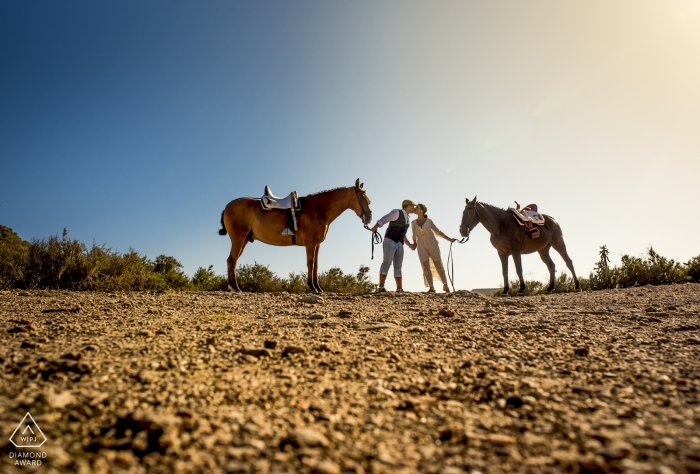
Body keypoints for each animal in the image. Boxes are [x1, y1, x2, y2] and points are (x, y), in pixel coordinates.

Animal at [219, 180, 374, 292]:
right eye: (361, 196)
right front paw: (312, 287)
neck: (318, 209)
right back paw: (235, 287)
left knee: (232, 260)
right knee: (232, 260)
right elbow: (310, 263)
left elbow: (316, 265)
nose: (369, 217)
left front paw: (318, 287)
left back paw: (233, 287)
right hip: (239, 239)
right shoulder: (310, 243)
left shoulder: (317, 244)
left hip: (244, 239)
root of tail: (227, 206)